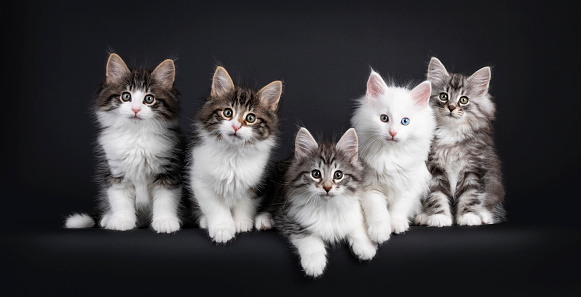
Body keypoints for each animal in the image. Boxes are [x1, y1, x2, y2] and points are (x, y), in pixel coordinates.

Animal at [63, 53, 182, 234]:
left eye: (149, 99)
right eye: (126, 96)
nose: (135, 109)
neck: (136, 136)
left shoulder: (169, 171)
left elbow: (165, 199)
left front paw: (165, 222)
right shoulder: (115, 171)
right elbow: (120, 199)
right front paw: (122, 221)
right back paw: (107, 218)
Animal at [188, 66, 280, 243]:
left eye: (250, 118)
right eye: (227, 113)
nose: (236, 126)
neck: (233, 153)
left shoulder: (255, 182)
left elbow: (245, 203)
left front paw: (241, 222)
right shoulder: (201, 181)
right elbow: (215, 207)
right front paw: (222, 229)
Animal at [255, 128, 376, 278]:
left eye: (338, 175)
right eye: (316, 174)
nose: (327, 188)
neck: (327, 207)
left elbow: (355, 225)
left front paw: (366, 247)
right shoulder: (287, 216)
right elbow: (307, 235)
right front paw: (314, 262)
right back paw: (264, 219)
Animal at [348, 69, 436, 243]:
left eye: (405, 121)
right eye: (384, 118)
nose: (393, 133)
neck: (391, 155)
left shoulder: (411, 185)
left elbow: (399, 208)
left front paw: (397, 224)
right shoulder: (370, 188)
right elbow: (377, 211)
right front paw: (380, 231)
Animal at [414, 56, 506, 225]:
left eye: (463, 100)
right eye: (443, 96)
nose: (451, 107)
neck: (450, 132)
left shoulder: (475, 168)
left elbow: (470, 196)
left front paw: (469, 216)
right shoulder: (433, 168)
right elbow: (436, 195)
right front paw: (439, 217)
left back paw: (484, 215)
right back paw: (423, 215)